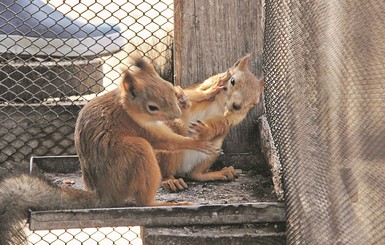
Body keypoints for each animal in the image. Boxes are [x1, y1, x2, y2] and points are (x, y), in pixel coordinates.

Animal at [0, 57, 216, 243]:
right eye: (152, 107)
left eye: (170, 88)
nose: (176, 113)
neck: (125, 104)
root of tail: (104, 195)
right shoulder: (138, 125)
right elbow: (165, 141)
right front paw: (198, 144)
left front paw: (195, 94)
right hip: (136, 153)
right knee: (143, 201)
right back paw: (162, 204)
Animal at [158, 55, 262, 191]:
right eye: (232, 81)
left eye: (254, 103)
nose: (237, 106)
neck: (221, 104)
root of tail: (180, 170)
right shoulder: (198, 89)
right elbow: (193, 95)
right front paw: (211, 89)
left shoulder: (227, 121)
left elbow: (218, 127)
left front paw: (204, 129)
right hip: (167, 151)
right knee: (164, 173)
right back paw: (170, 180)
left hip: (211, 152)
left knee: (195, 175)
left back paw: (220, 173)